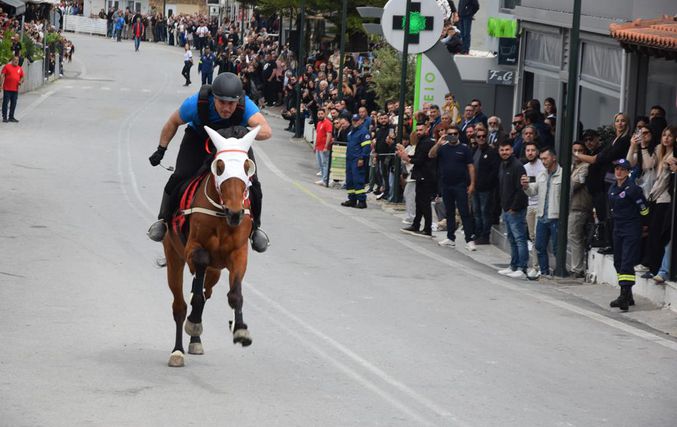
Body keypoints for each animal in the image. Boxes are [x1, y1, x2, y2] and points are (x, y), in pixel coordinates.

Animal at [162, 125, 260, 368]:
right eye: (220, 166)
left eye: (247, 166)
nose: (235, 212)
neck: (221, 215)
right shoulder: (191, 249)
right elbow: (200, 262)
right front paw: (193, 322)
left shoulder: (239, 253)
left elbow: (235, 293)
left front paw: (241, 330)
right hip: (173, 256)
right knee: (180, 305)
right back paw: (178, 350)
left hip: (215, 272)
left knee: (206, 291)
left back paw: (195, 341)